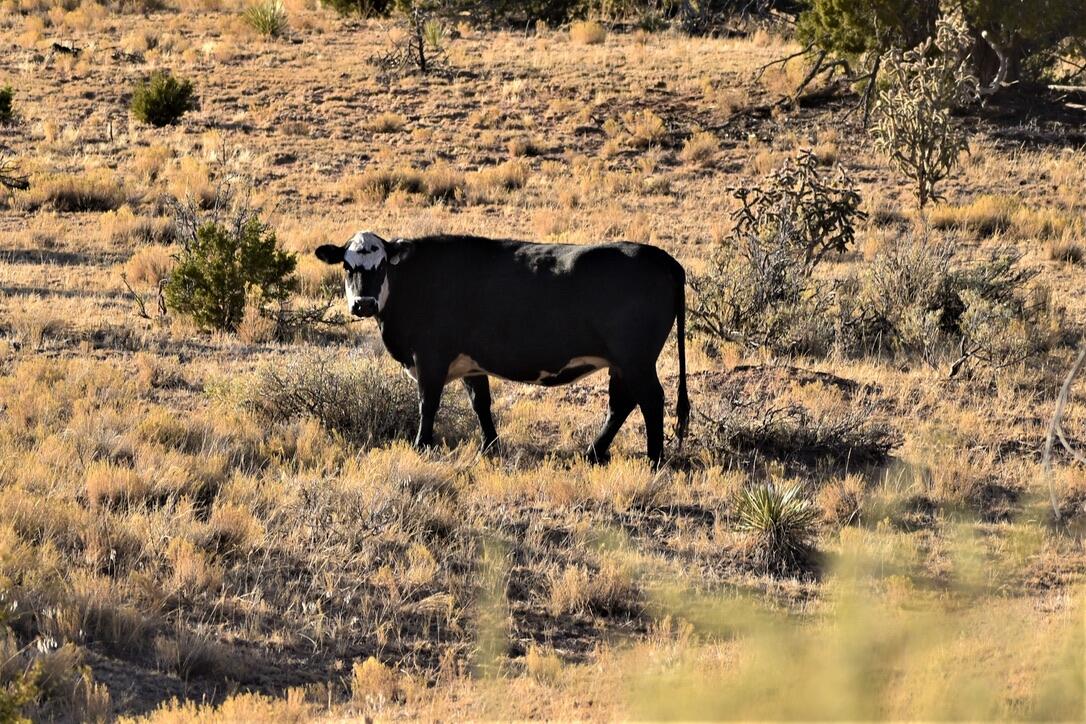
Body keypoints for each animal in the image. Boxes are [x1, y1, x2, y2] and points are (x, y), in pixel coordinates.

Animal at [314, 235, 686, 466]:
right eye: (347, 266)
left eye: (381, 266)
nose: (363, 304)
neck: (415, 281)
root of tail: (661, 257)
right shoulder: (471, 363)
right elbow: (481, 404)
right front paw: (490, 446)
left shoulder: (430, 359)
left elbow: (427, 404)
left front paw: (421, 445)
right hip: (622, 364)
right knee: (621, 404)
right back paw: (593, 453)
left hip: (636, 360)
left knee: (651, 400)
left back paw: (653, 459)